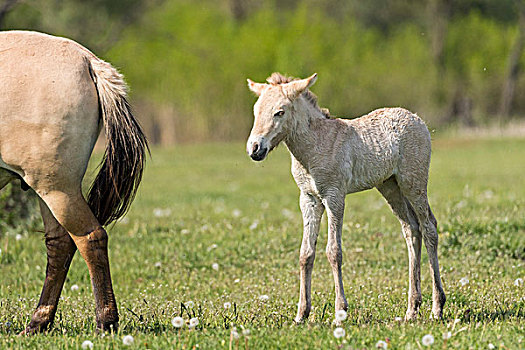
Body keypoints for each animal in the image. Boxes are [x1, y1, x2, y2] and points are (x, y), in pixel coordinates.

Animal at [0, 32, 147, 334]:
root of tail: (88, 61)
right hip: (48, 189)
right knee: (60, 244)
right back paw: (38, 322)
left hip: (57, 189)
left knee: (90, 238)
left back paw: (105, 321)